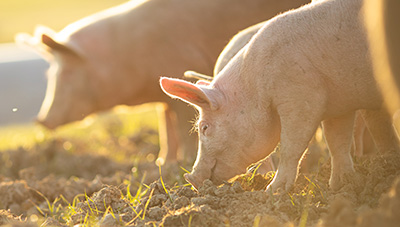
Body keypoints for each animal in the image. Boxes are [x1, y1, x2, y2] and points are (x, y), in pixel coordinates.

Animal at [15, 0, 310, 164]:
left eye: (65, 73)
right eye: (49, 75)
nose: (40, 120)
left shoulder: (179, 71)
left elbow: (179, 126)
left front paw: (182, 162)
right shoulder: (164, 98)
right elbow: (165, 127)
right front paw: (161, 163)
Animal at [161, 0, 400, 192]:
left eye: (204, 128)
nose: (190, 178)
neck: (255, 86)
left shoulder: (301, 97)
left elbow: (290, 145)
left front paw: (273, 192)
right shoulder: (339, 104)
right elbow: (337, 140)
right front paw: (341, 186)